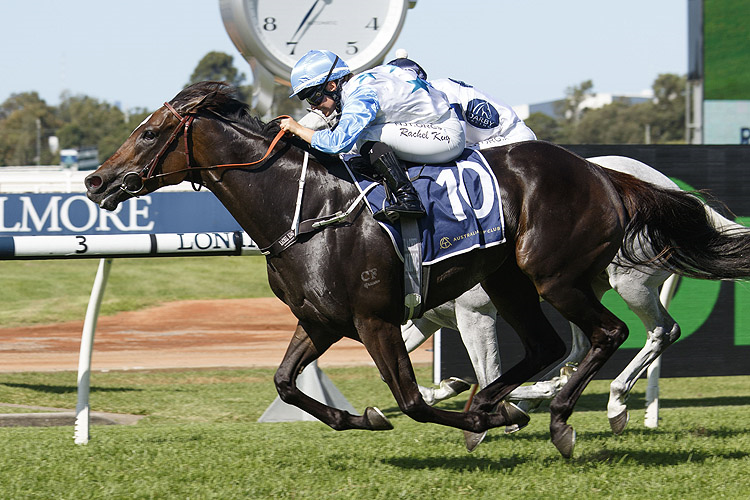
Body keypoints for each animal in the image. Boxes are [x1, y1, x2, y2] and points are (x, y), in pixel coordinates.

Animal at [402, 154, 744, 436]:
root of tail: (666, 186)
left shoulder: (475, 313)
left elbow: (490, 377)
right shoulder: (426, 320)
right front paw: (440, 391)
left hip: (629, 283)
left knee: (662, 330)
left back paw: (613, 401)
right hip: (582, 287)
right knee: (583, 345)